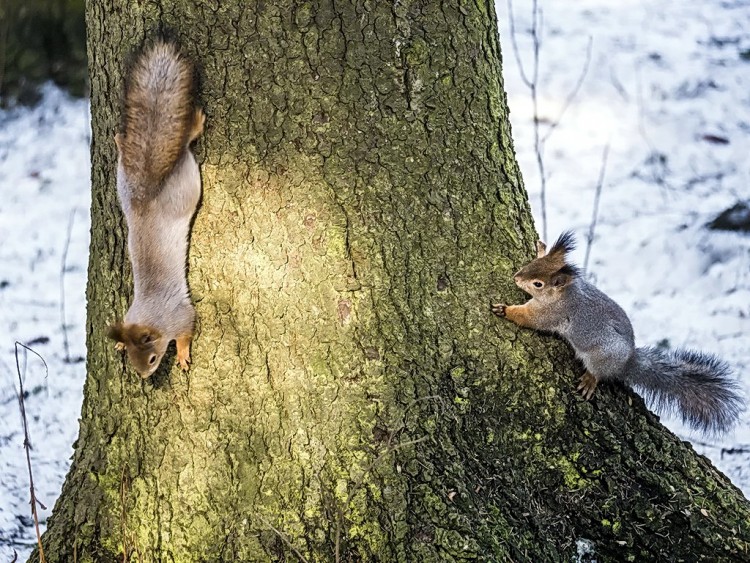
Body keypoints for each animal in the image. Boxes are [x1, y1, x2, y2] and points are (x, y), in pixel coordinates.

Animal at [106, 41, 206, 378]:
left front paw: (183, 355)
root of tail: (146, 195)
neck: (151, 315)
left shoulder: (180, 314)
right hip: (123, 184)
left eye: (151, 359)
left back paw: (194, 126)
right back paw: (120, 140)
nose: (145, 376)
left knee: (185, 146)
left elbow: (187, 331)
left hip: (186, 186)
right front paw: (119, 341)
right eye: (135, 360)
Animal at [490, 231, 744, 434]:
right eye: (534, 262)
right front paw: (541, 244)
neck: (567, 293)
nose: (516, 277)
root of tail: (626, 362)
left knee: (600, 373)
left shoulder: (551, 313)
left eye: (538, 284)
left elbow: (529, 318)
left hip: (601, 356)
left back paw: (590, 380)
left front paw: (505, 310)